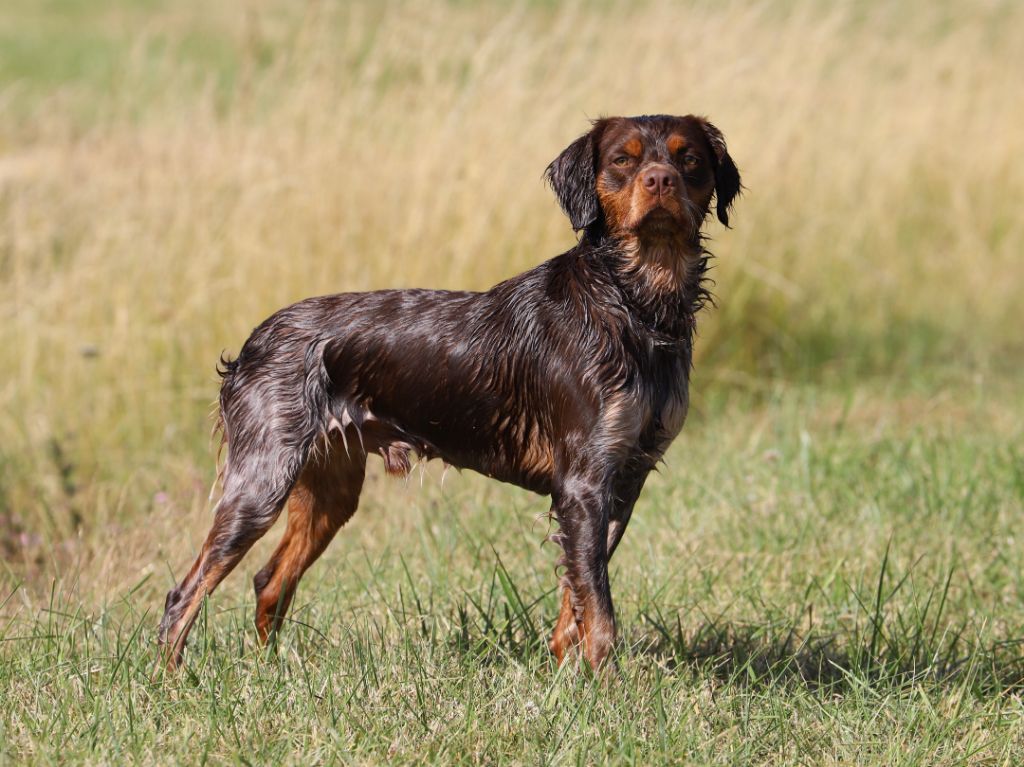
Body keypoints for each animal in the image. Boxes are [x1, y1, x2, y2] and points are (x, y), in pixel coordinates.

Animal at [155, 113, 741, 671]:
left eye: (689, 159)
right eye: (623, 159)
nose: (660, 180)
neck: (631, 305)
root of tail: (254, 341)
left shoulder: (623, 478)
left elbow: (574, 601)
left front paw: (566, 677)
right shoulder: (583, 482)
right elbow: (599, 614)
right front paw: (603, 691)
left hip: (330, 487)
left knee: (269, 581)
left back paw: (271, 675)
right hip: (261, 482)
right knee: (182, 595)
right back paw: (173, 682)